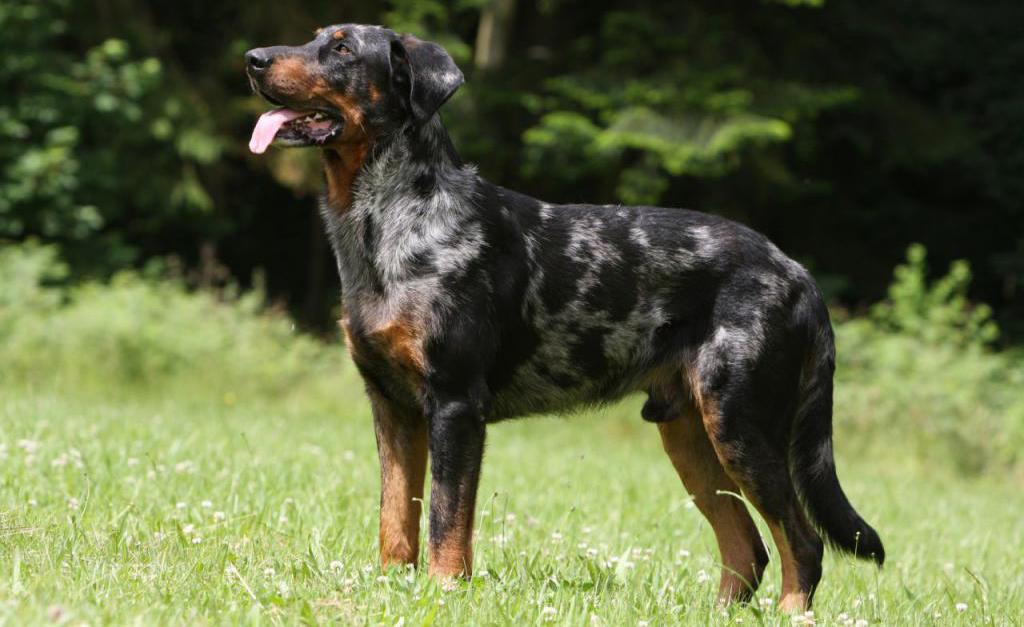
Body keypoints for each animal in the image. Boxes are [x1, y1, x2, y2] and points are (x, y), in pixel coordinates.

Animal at [245, 24, 880, 610]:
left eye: (342, 49)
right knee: (748, 547)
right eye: (315, 37)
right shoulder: (391, 405)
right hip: (689, 434)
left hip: (742, 424)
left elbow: (447, 519)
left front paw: (443, 593)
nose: (252, 58)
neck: (384, 220)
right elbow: (395, 517)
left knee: (801, 542)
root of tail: (799, 274)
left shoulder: (454, 403)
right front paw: (390, 588)